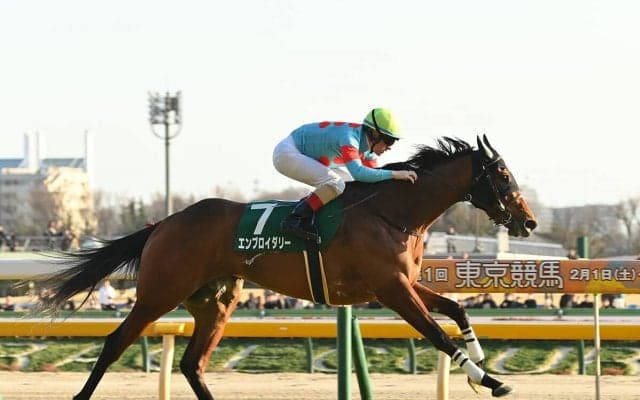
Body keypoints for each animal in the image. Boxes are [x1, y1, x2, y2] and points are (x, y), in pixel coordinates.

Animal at [33, 135, 537, 399]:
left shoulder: (401, 284)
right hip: (160, 292)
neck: (391, 213)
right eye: (503, 175)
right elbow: (437, 333)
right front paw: (490, 380)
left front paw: (479, 361)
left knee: (194, 364)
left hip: (216, 301)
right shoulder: (391, 289)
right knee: (116, 342)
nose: (528, 221)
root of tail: (162, 224)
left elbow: (457, 310)